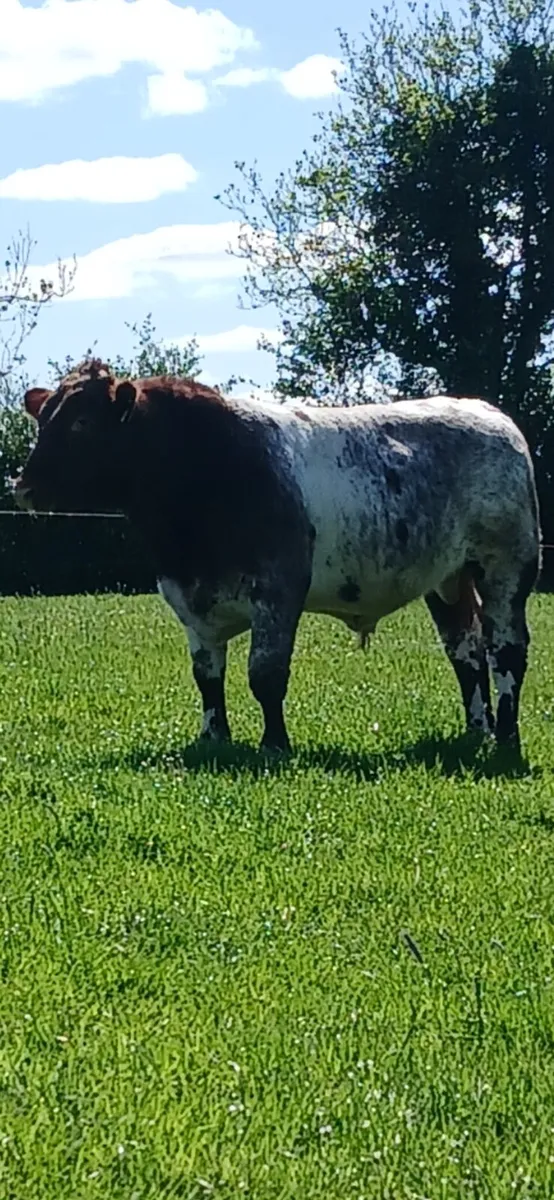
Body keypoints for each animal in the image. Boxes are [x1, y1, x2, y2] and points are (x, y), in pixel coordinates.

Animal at [15, 359, 540, 757]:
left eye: (81, 422)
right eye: (45, 420)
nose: (23, 486)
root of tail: (489, 414)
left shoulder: (278, 589)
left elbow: (265, 674)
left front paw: (275, 744)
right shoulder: (188, 601)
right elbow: (207, 676)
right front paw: (213, 737)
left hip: (507, 568)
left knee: (507, 650)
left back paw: (506, 738)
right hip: (447, 578)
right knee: (466, 651)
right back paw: (478, 730)